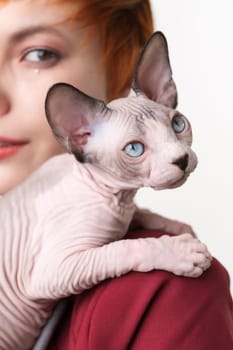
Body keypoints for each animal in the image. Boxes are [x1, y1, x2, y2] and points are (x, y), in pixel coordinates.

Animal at [0, 31, 211, 348]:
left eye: (178, 124)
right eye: (135, 149)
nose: (182, 159)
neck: (116, 198)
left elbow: (140, 214)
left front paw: (177, 227)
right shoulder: (50, 272)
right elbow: (123, 247)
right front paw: (181, 250)